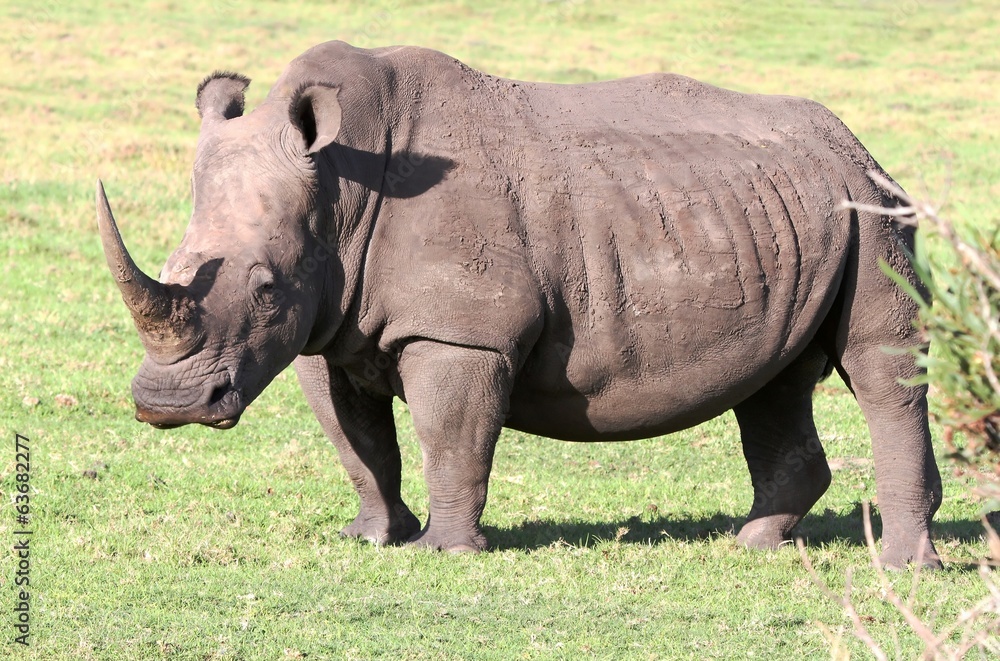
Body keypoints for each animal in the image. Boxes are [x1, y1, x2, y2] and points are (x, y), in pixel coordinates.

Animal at [97, 40, 942, 568]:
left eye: (266, 287)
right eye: (171, 265)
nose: (167, 404)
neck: (340, 187)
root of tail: (855, 143)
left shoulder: (459, 332)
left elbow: (448, 435)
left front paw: (442, 551)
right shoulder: (327, 326)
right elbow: (358, 443)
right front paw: (370, 537)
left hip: (870, 205)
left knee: (879, 361)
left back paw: (903, 568)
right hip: (788, 212)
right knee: (773, 380)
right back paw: (755, 542)